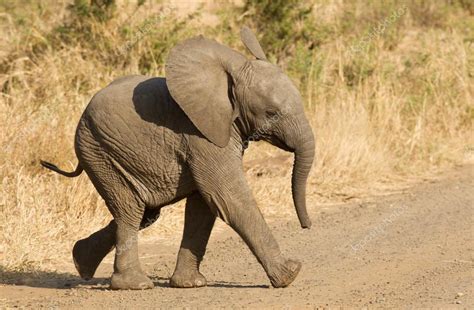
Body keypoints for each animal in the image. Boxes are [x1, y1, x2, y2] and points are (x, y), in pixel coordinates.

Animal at [40, 27, 314, 290]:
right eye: (271, 113)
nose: (307, 226)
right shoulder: (199, 135)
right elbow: (227, 196)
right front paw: (290, 274)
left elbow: (203, 205)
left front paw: (190, 284)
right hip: (100, 151)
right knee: (130, 210)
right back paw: (134, 285)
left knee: (145, 213)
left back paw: (81, 262)